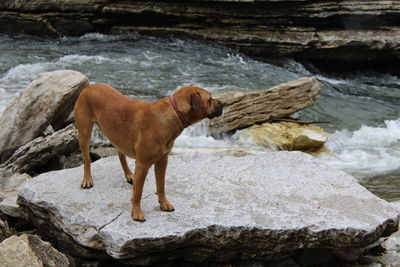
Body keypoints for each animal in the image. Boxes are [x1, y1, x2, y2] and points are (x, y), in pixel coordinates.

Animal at [74, 85, 223, 223]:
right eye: (209, 99)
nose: (223, 104)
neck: (172, 114)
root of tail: (89, 86)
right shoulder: (143, 164)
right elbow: (138, 193)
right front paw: (136, 212)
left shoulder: (162, 161)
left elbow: (161, 185)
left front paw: (164, 203)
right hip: (85, 133)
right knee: (87, 159)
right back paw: (87, 179)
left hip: (116, 134)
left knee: (121, 155)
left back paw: (129, 174)